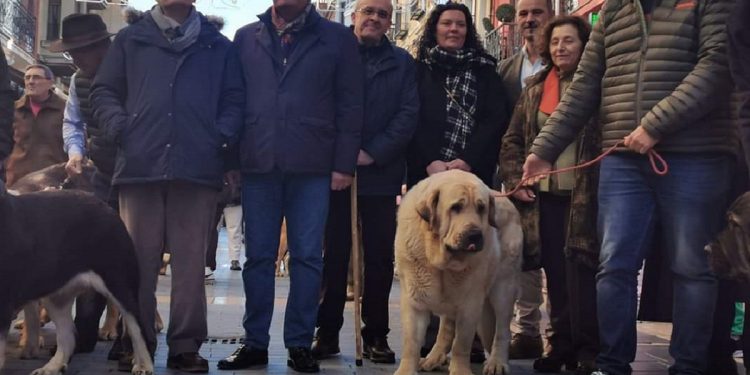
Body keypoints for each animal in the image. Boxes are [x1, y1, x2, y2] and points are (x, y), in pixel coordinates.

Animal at [394, 171, 524, 375]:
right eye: (456, 207)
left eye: (481, 208)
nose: (475, 235)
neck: (441, 261)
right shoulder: (413, 300)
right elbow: (411, 342)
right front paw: (406, 370)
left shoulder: (470, 303)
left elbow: (461, 342)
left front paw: (460, 369)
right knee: (446, 328)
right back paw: (433, 358)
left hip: (503, 287)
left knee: (502, 330)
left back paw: (497, 362)